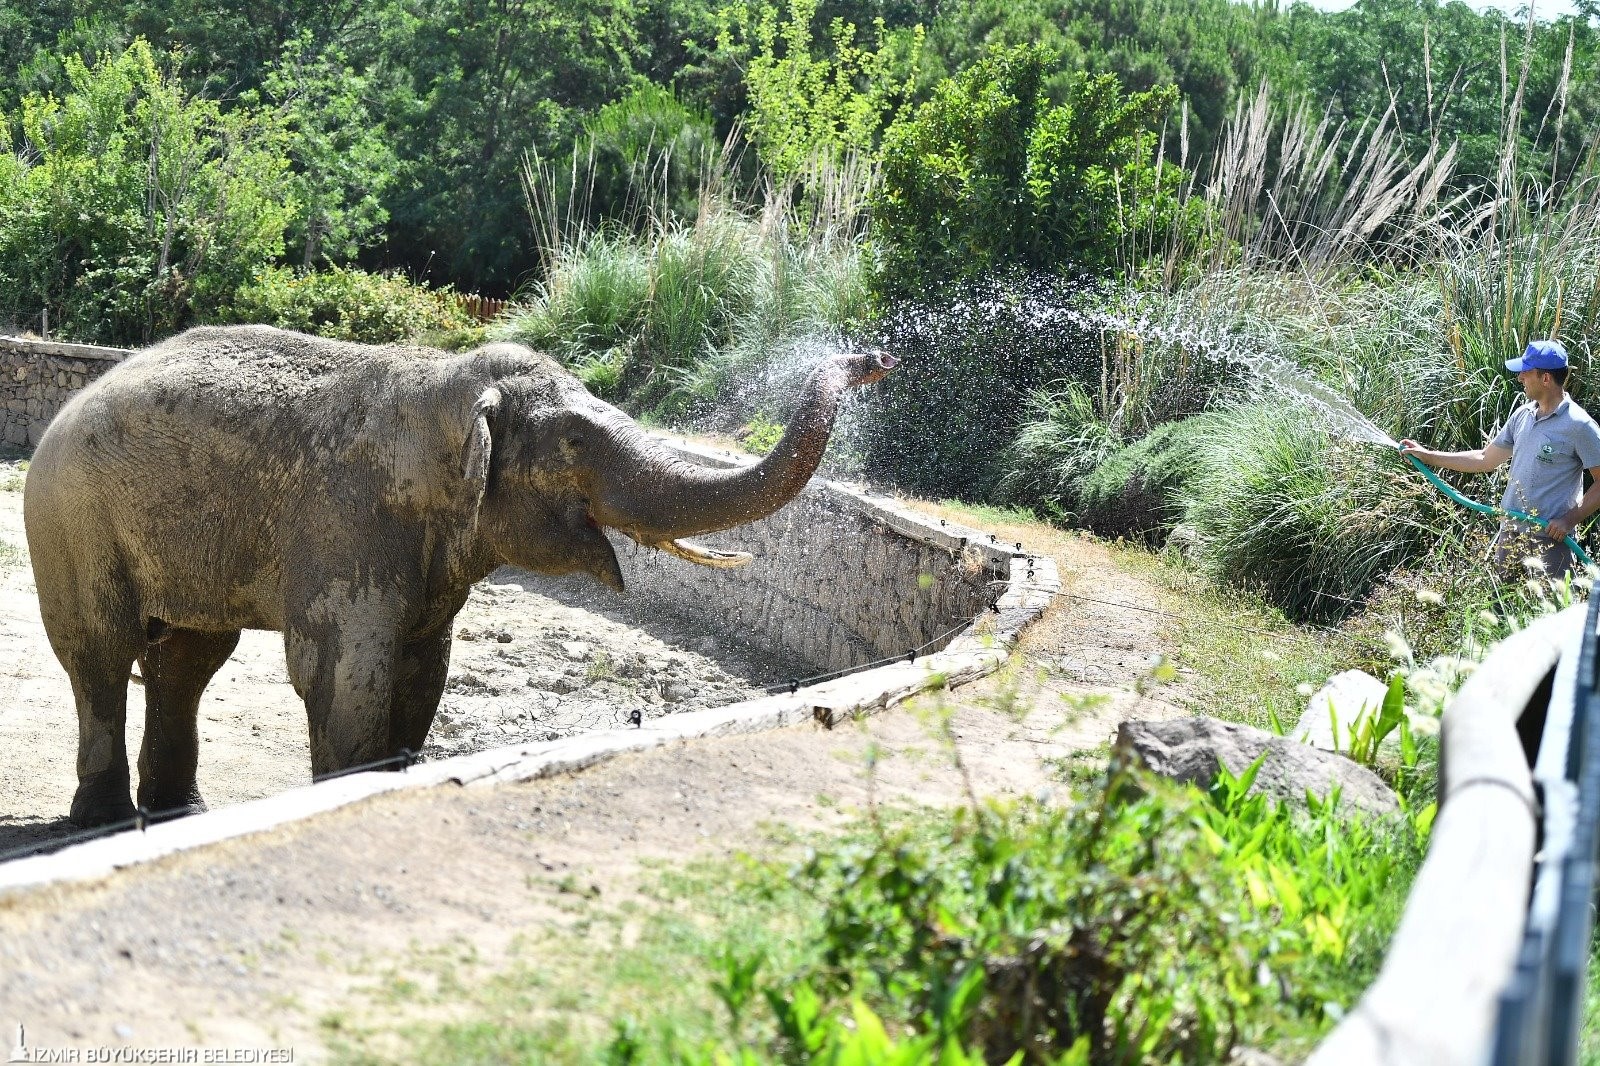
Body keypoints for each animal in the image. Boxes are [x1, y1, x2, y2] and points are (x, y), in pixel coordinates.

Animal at [21, 323, 902, 819]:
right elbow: (343, 669)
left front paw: (398, 778)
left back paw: (181, 814)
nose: (876, 358)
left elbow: (425, 670)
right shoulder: (347, 521)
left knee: (189, 658)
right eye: (576, 441)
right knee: (101, 656)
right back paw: (102, 822)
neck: (447, 384)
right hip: (69, 520)